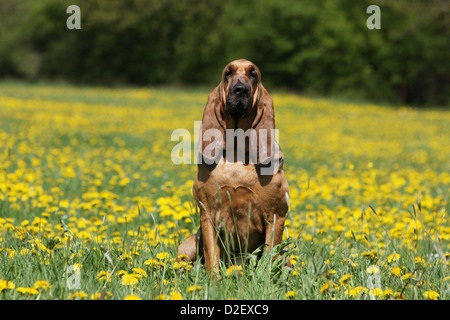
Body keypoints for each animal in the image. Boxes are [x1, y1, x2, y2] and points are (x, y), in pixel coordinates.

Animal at [176, 58, 288, 274]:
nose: (240, 89)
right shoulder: (208, 214)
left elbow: (269, 256)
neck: (237, 155)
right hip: (186, 247)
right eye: (228, 72)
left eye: (253, 74)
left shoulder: (275, 216)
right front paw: (214, 280)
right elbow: (211, 256)